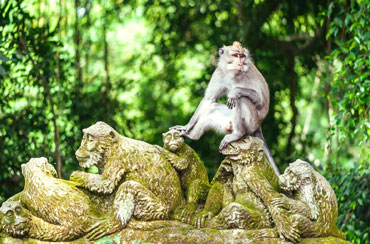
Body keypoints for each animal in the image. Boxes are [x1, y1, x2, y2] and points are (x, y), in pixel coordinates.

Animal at [172, 42, 278, 175]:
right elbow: (209, 99)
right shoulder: (219, 73)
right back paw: (192, 136)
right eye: (235, 55)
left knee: (241, 100)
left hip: (251, 123)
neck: (234, 74)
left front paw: (235, 91)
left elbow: (260, 100)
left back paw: (238, 134)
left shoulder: (248, 75)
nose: (240, 63)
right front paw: (187, 126)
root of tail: (259, 125)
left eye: (242, 56)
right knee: (212, 109)